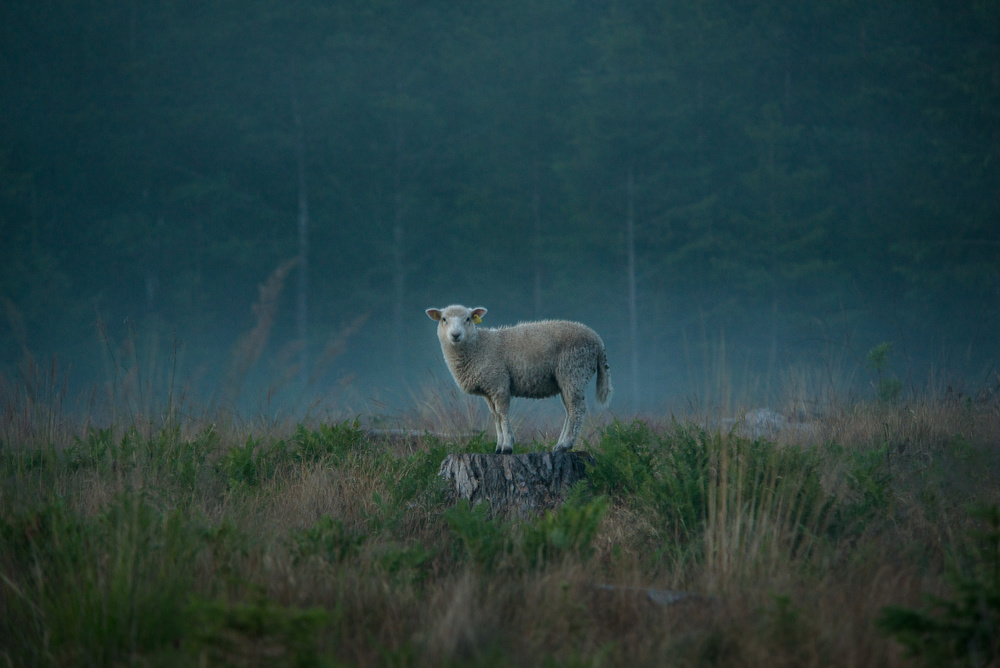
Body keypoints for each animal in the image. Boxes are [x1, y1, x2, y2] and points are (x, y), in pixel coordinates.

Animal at [424, 304, 608, 454]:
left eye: (468, 319)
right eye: (444, 319)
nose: (455, 335)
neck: (478, 347)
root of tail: (598, 340)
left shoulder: (499, 382)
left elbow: (503, 414)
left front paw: (507, 446)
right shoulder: (488, 389)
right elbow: (496, 416)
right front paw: (499, 447)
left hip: (574, 371)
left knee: (577, 409)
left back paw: (565, 445)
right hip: (567, 379)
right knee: (570, 410)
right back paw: (559, 445)